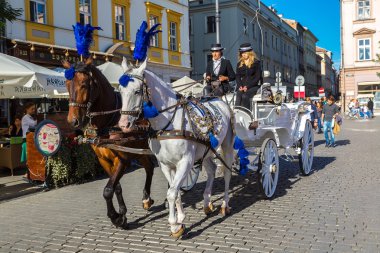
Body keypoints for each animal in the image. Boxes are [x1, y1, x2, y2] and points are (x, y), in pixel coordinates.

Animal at [63, 58, 155, 228]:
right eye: (66, 84)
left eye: (84, 84)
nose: (73, 121)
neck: (109, 121)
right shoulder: (104, 160)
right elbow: (115, 187)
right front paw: (121, 214)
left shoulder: (123, 159)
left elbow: (107, 190)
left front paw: (115, 216)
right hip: (140, 150)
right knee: (150, 168)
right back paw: (147, 198)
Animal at [118, 59, 235, 237]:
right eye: (120, 90)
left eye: (137, 91)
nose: (123, 124)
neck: (167, 124)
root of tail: (219, 100)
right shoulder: (165, 165)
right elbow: (176, 191)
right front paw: (180, 218)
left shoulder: (185, 162)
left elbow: (172, 193)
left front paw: (174, 225)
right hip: (206, 150)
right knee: (211, 170)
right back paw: (207, 203)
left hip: (226, 145)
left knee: (227, 173)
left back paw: (224, 205)